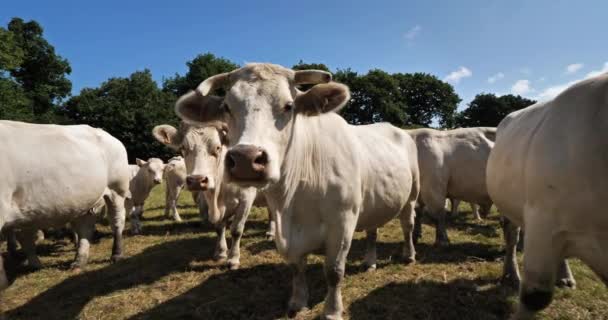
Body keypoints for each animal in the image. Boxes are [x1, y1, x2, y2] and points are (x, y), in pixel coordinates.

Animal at [0, 121, 129, 292]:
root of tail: (105, 133)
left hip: (117, 188)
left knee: (117, 221)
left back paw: (116, 254)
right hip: (83, 200)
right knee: (84, 229)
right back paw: (77, 261)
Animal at [171, 63, 418, 320]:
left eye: (289, 106)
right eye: (227, 107)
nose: (246, 159)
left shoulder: (342, 222)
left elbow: (334, 271)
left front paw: (332, 311)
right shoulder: (287, 232)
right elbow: (297, 267)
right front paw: (298, 302)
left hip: (412, 195)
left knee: (408, 226)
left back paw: (409, 255)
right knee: (372, 231)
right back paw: (370, 261)